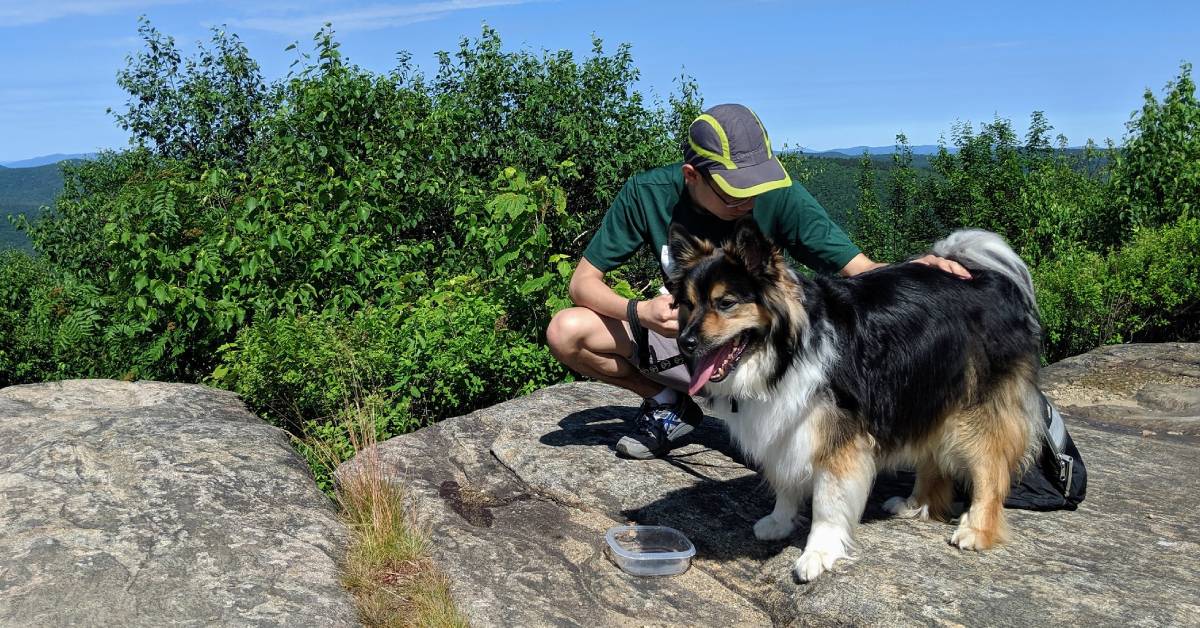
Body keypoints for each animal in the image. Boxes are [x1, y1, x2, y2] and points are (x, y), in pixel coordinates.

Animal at [667, 218, 1041, 583]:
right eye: (688, 304)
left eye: (726, 303)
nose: (685, 342)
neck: (786, 352)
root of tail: (987, 278)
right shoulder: (786, 424)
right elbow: (785, 480)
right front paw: (779, 521)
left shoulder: (837, 435)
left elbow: (827, 502)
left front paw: (817, 553)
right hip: (926, 393)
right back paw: (915, 504)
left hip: (973, 409)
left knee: (990, 468)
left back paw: (975, 529)